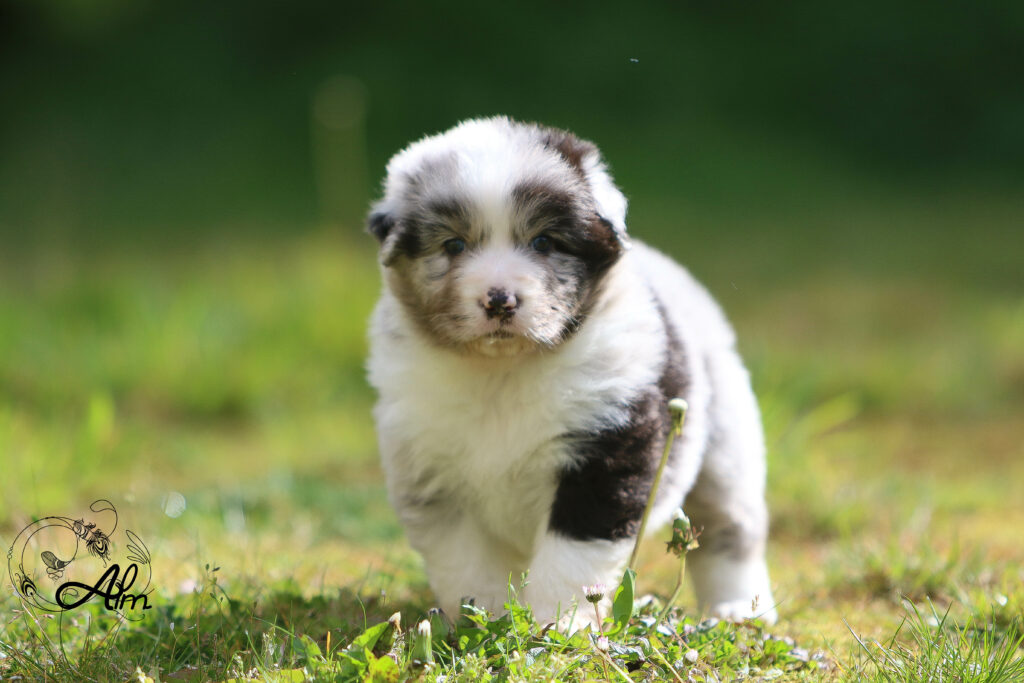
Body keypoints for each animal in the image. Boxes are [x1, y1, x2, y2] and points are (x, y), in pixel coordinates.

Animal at [366, 117, 777, 628]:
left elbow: (571, 558)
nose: (499, 300)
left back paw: (739, 609)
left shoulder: (606, 453)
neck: (503, 372)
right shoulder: (431, 472)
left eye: (544, 242)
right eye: (454, 245)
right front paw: (484, 620)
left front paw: (555, 625)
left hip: (724, 447)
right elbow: (467, 562)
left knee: (730, 530)